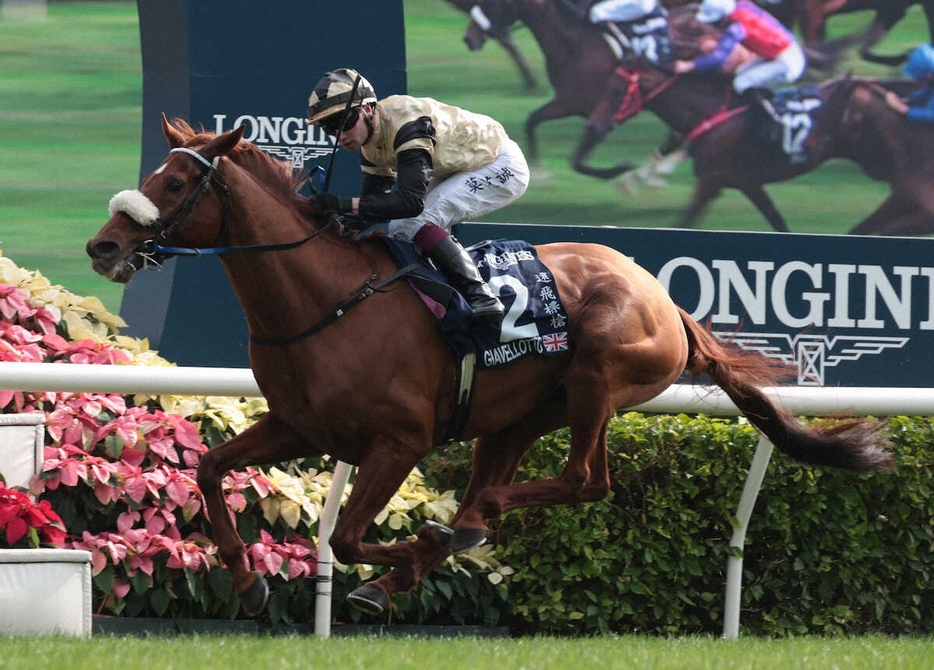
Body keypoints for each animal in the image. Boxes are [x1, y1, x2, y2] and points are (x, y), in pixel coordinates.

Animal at [91, 114, 896, 620]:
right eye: (152, 174)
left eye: (172, 184)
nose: (103, 247)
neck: (325, 301)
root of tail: (667, 301)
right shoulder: (299, 427)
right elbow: (209, 469)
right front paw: (249, 582)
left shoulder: (399, 441)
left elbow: (346, 538)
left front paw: (414, 549)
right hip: (514, 420)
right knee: (518, 482)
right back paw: (452, 537)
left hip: (597, 378)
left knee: (584, 481)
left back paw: (458, 531)